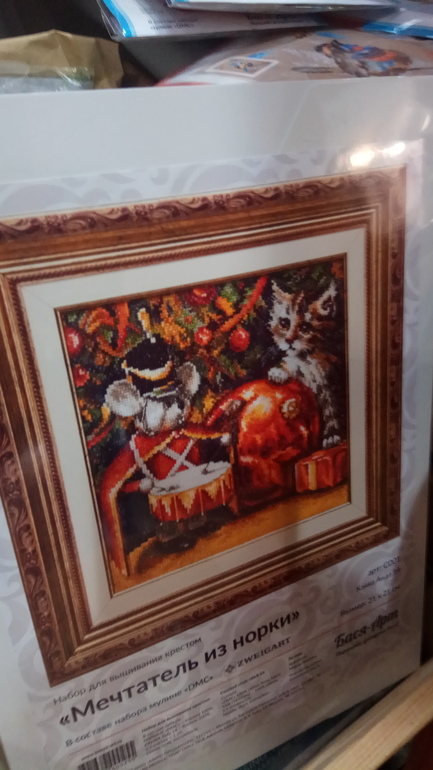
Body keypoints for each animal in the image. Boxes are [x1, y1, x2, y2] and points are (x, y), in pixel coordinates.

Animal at [267, 280, 343, 449]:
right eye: (284, 323)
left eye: (305, 328)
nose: (288, 340)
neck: (308, 359)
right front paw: (279, 372)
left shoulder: (332, 383)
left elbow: (331, 408)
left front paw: (332, 434)